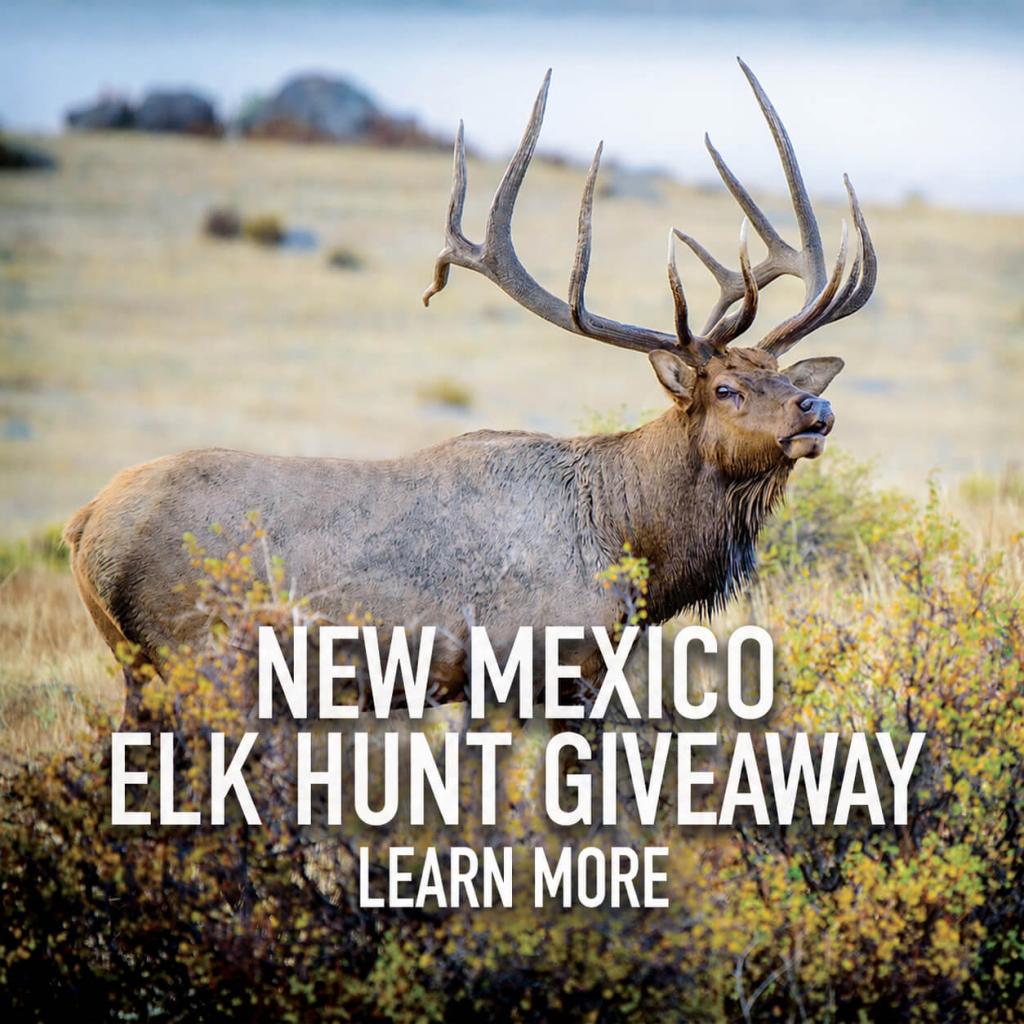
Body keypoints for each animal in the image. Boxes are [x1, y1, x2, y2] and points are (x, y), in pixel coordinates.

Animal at [64, 60, 875, 724]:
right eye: (729, 388)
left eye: (785, 378)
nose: (817, 408)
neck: (631, 542)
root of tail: (83, 526)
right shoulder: (536, 666)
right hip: (192, 654)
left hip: (141, 670)